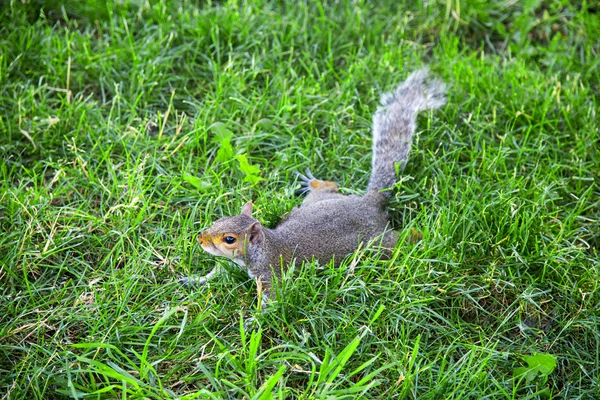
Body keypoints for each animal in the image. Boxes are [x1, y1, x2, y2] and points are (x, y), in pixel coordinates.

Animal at [183, 69, 446, 306]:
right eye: (219, 220)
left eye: (229, 239)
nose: (200, 239)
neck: (264, 247)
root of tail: (369, 201)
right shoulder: (232, 265)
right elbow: (217, 272)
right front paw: (194, 279)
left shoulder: (272, 274)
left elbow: (273, 302)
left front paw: (253, 321)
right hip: (321, 199)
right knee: (330, 185)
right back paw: (311, 182)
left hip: (379, 243)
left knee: (401, 240)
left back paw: (421, 237)